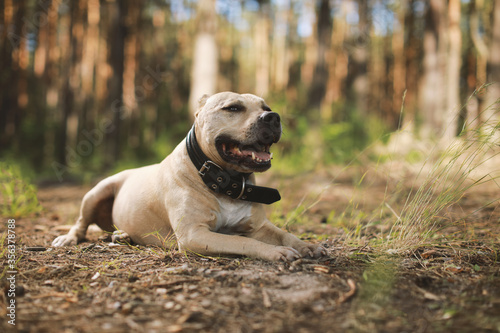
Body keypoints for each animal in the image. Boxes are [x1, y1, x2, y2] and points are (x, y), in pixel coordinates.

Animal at [52, 92, 326, 260]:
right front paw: (276, 252)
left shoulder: (258, 225)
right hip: (97, 191)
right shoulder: (195, 234)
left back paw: (123, 235)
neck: (224, 181)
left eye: (266, 108)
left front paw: (308, 245)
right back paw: (68, 238)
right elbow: (244, 243)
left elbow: (285, 234)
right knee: (80, 222)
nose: (273, 117)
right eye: (233, 108)